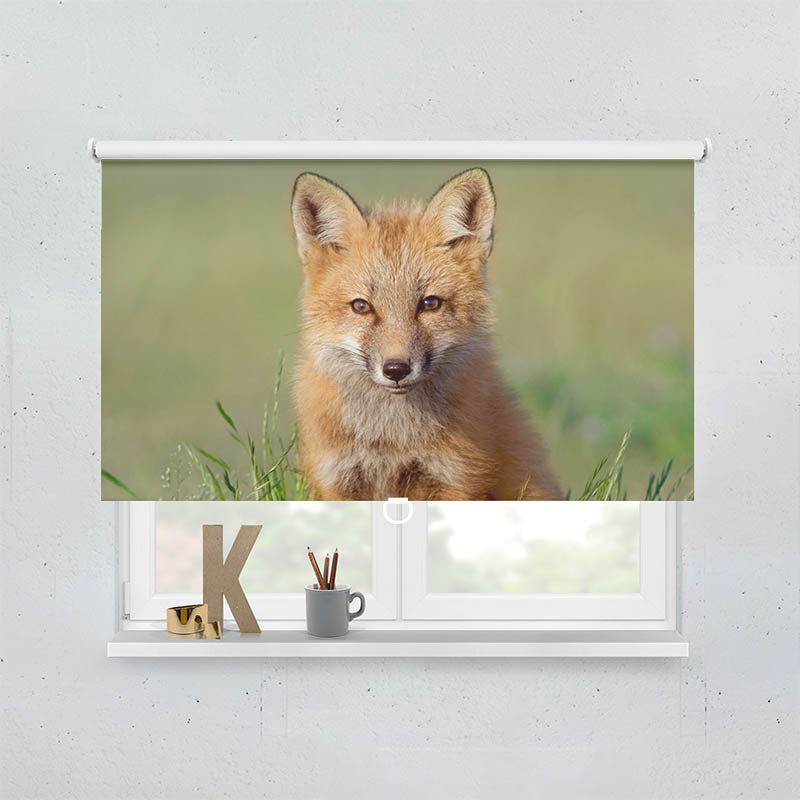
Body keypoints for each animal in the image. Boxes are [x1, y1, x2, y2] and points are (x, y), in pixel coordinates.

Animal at [290, 167, 561, 501]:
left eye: (429, 304)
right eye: (361, 306)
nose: (396, 369)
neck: (391, 439)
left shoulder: (456, 478)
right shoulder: (336, 481)